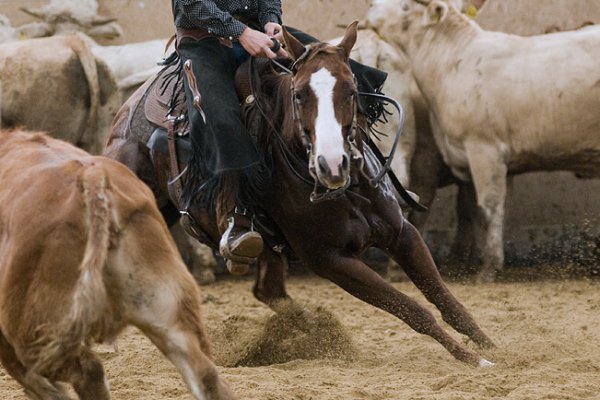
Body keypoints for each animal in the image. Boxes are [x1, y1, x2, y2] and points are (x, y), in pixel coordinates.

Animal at [104, 21, 496, 366]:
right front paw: (473, 359)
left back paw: (314, 330)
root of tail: (129, 109)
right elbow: (413, 309)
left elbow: (444, 298)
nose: (331, 164)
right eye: (299, 94)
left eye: (351, 90)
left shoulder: (403, 233)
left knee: (269, 292)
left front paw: (492, 347)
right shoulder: (331, 260)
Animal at [368, 0, 600, 282]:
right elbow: (474, 209)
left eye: (404, 7)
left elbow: (489, 205)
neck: (453, 62)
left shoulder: (484, 148)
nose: (370, 6)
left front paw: (489, 266)